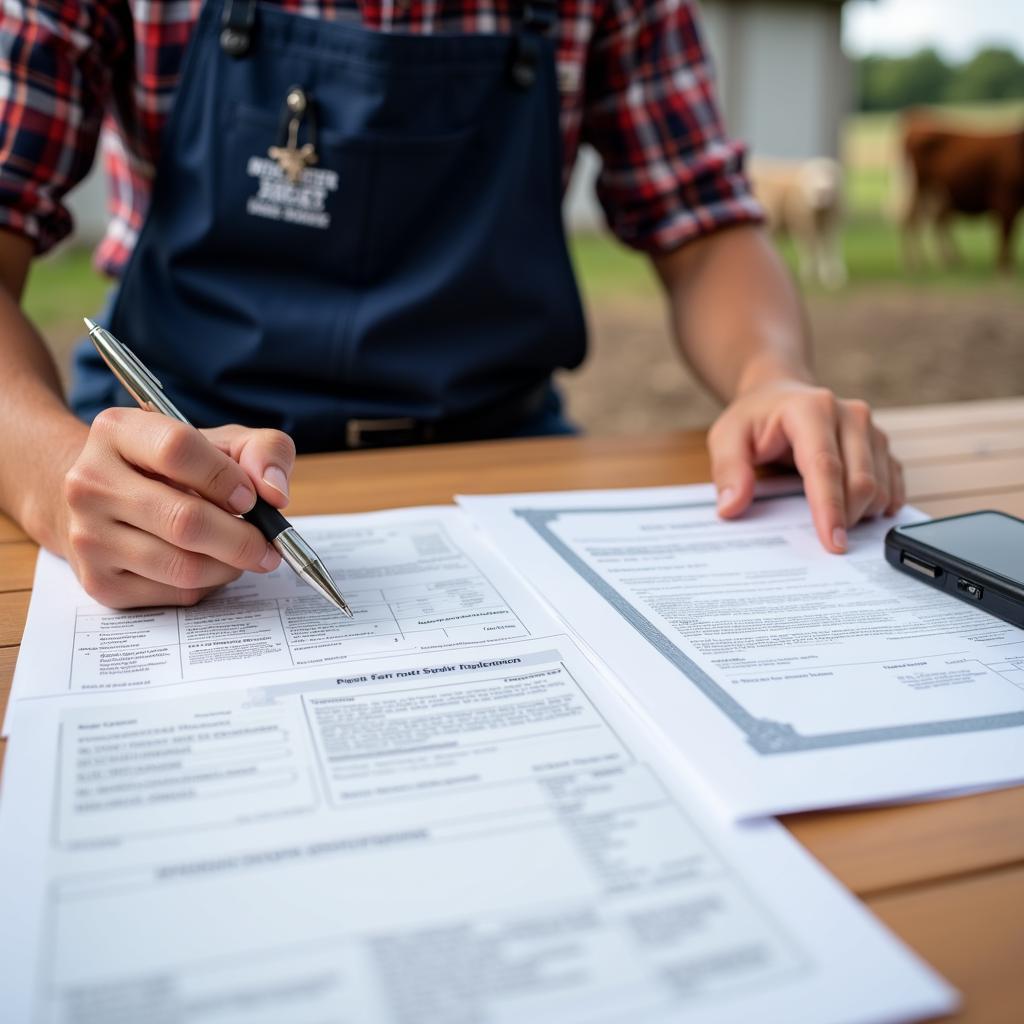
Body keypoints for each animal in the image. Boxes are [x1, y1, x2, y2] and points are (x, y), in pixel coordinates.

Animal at [749, 157, 843, 290]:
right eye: (810, 176)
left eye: (832, 175)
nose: (822, 192)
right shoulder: (802, 223)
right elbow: (808, 248)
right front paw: (809, 274)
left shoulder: (828, 225)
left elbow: (829, 248)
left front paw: (833, 277)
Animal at [905, 113, 1024, 272]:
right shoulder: (1005, 199)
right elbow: (1006, 234)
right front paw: (1004, 267)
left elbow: (1009, 234)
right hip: (921, 188)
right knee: (914, 220)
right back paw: (917, 263)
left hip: (934, 193)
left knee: (935, 220)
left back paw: (945, 260)